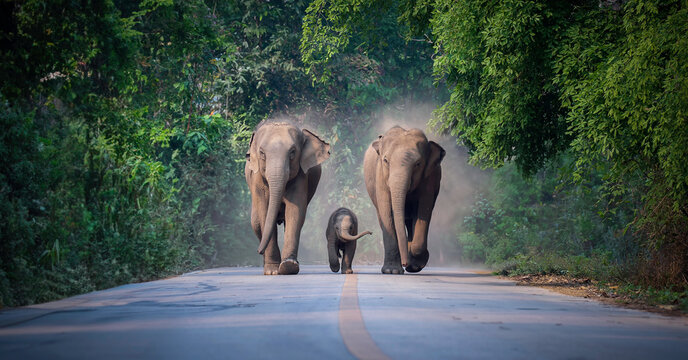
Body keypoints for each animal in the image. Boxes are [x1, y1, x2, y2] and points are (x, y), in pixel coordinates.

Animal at [245, 119, 330, 274]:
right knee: (256, 223)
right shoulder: (257, 179)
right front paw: (272, 271)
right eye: (262, 153)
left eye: (292, 152)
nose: (258, 251)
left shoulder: (301, 176)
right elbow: (264, 214)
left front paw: (288, 266)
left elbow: (294, 212)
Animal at [366, 126, 446, 272]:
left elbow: (423, 211)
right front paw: (391, 271)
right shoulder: (380, 176)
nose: (404, 264)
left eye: (418, 164)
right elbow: (387, 213)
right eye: (385, 160)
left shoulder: (429, 179)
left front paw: (415, 263)